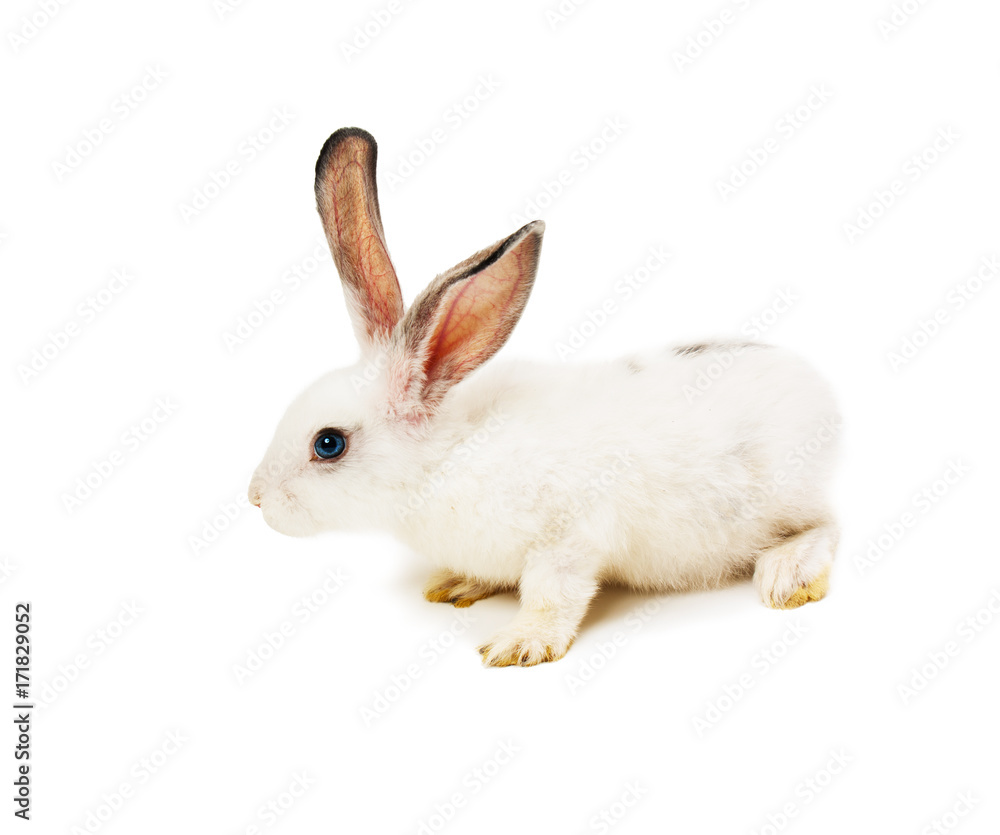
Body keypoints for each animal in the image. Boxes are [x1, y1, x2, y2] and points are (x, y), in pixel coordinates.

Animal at [248, 127, 841, 667]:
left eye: (328, 444)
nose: (256, 499)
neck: (443, 458)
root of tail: (819, 392)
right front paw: (459, 585)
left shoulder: (568, 540)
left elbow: (552, 597)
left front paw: (519, 645)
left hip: (786, 498)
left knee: (827, 525)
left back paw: (787, 575)